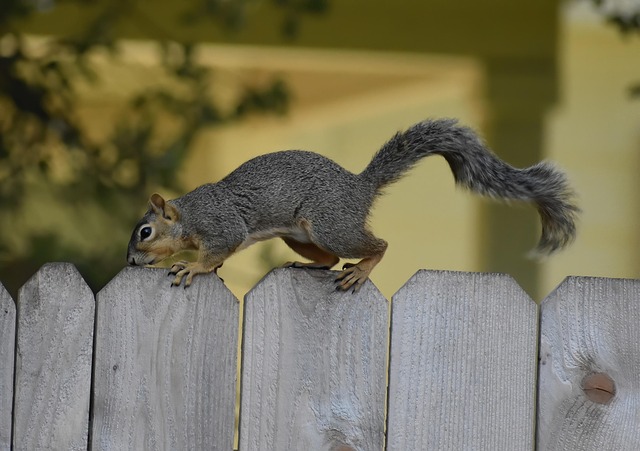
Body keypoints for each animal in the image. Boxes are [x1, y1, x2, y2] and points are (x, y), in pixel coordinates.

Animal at [127, 118, 579, 291]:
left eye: (145, 232)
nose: (130, 261)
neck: (187, 215)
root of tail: (359, 187)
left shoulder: (221, 225)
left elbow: (217, 249)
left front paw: (193, 267)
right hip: (302, 236)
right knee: (326, 259)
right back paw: (307, 266)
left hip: (331, 225)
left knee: (377, 245)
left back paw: (361, 270)